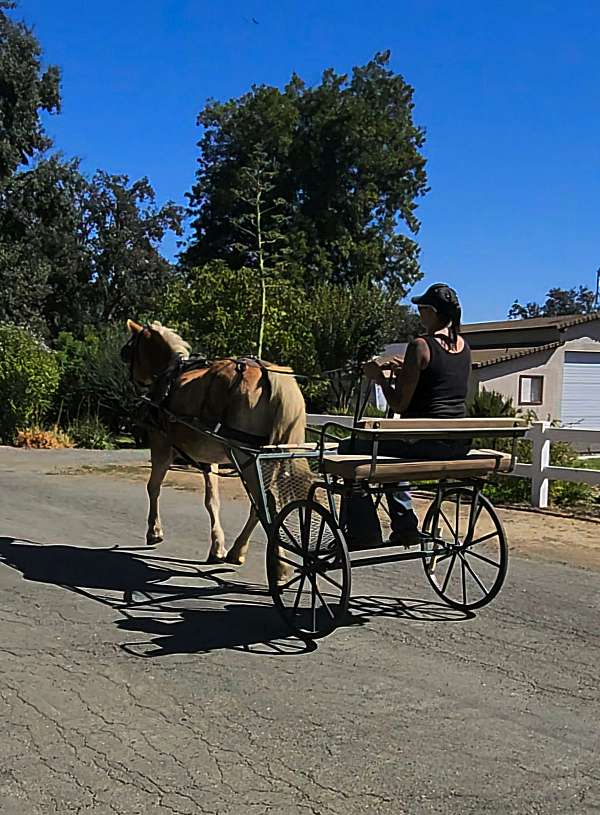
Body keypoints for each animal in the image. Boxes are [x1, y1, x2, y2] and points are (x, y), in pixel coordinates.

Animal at [122, 318, 310, 572]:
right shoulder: (207, 459)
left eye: (131, 348)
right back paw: (240, 551)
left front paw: (154, 531)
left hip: (247, 459)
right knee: (262, 506)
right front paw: (217, 546)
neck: (171, 374)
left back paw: (274, 564)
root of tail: (268, 374)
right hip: (270, 458)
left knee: (267, 504)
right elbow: (213, 501)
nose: (132, 381)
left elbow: (154, 487)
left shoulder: (161, 444)